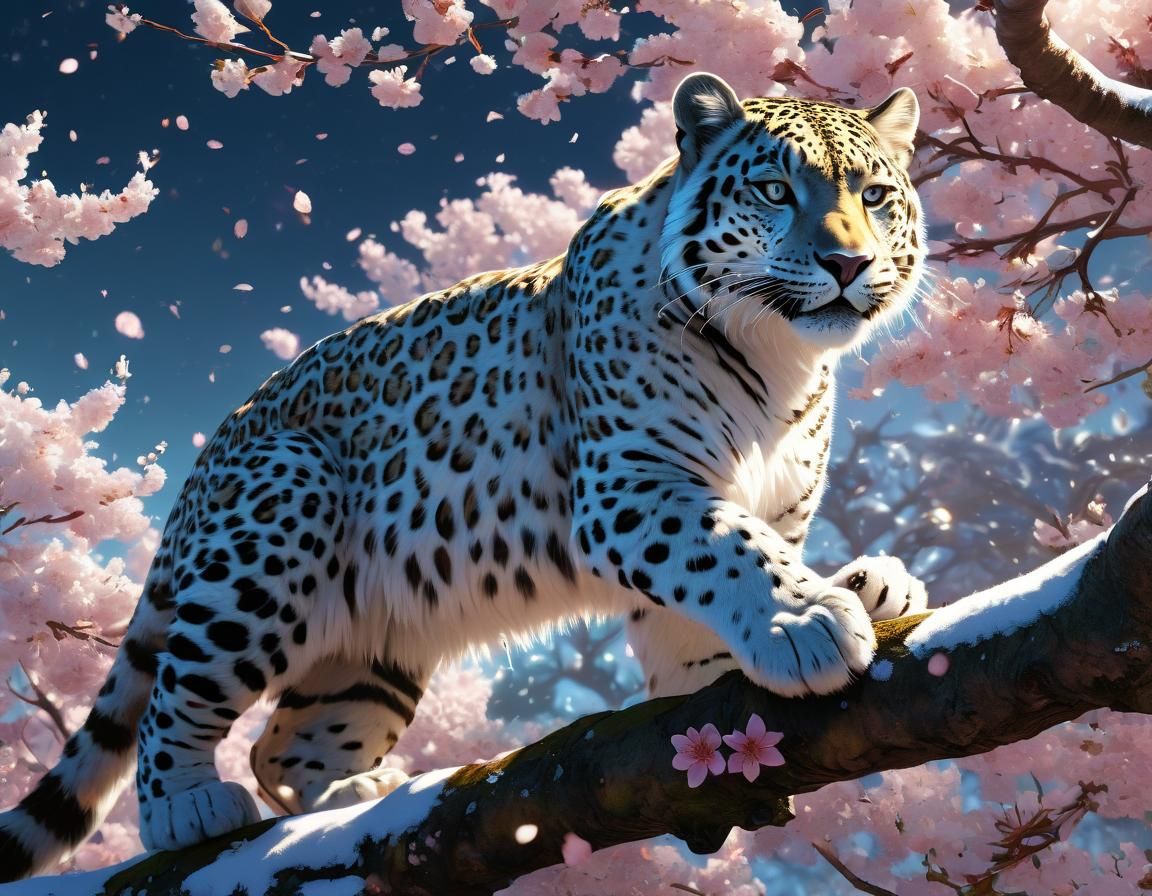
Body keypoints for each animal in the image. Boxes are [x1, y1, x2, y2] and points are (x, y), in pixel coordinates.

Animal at [0, 72, 928, 880]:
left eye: (876, 197)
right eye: (774, 191)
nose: (848, 264)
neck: (784, 361)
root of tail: (203, 465)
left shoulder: (761, 507)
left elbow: (703, 611)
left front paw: (800, 619)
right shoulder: (629, 483)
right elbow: (730, 549)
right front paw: (807, 618)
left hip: (371, 654)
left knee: (280, 747)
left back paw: (359, 793)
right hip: (275, 523)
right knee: (176, 699)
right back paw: (185, 806)